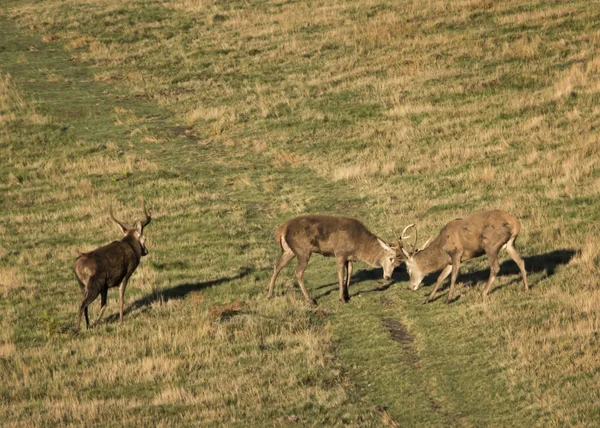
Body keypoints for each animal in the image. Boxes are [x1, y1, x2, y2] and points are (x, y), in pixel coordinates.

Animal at [73, 199, 152, 332]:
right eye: (144, 238)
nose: (146, 251)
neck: (132, 247)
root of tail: (76, 267)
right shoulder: (126, 274)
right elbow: (121, 299)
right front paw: (121, 321)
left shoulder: (105, 285)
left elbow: (104, 305)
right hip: (94, 285)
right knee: (82, 304)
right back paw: (77, 329)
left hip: (83, 286)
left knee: (85, 305)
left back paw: (88, 325)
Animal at [268, 214, 404, 304]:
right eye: (391, 258)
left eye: (398, 264)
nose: (387, 277)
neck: (359, 245)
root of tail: (280, 230)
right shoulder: (340, 253)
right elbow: (340, 275)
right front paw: (341, 298)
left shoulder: (349, 258)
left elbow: (349, 274)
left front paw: (347, 295)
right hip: (303, 251)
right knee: (298, 272)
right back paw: (310, 299)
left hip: (289, 250)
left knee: (277, 266)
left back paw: (270, 294)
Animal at [398, 210, 528, 304]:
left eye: (408, 270)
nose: (411, 286)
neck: (442, 248)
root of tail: (516, 224)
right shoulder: (450, 261)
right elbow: (440, 278)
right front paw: (428, 299)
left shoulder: (456, 253)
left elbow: (453, 277)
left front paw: (448, 299)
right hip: (509, 244)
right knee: (520, 261)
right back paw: (526, 288)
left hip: (490, 244)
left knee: (495, 267)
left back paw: (483, 293)